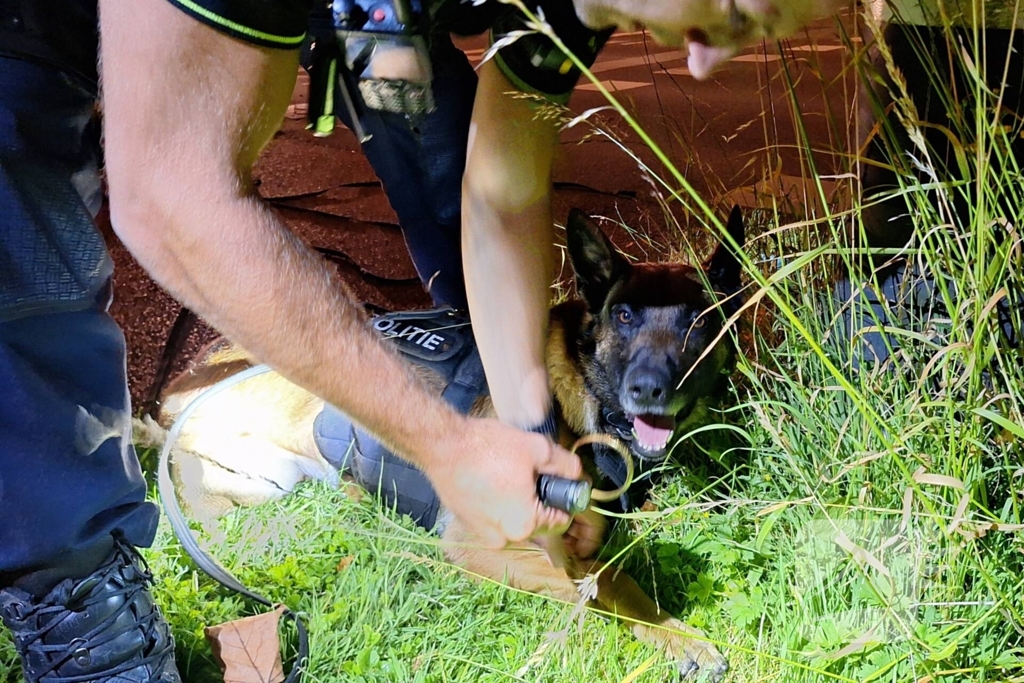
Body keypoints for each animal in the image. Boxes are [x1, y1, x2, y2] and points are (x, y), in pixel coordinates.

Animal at [151, 208, 745, 679]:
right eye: (623, 316)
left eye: (698, 322)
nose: (649, 389)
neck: (573, 405)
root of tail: (171, 398)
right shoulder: (477, 545)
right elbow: (594, 582)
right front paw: (672, 633)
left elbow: (610, 573)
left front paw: (679, 634)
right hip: (264, 481)